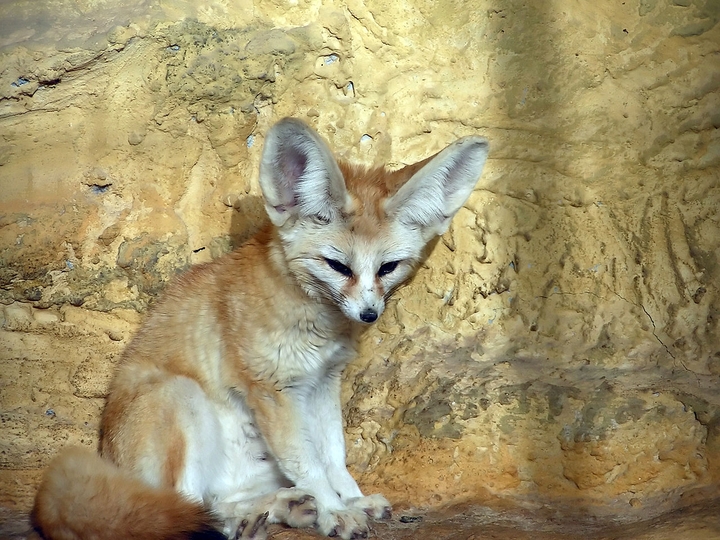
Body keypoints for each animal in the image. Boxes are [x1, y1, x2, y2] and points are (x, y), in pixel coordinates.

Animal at [33, 118, 489, 540]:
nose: (369, 314)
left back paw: (278, 508)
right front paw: (335, 511)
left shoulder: (323, 383)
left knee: (216, 501)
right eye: (338, 266)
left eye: (388, 267)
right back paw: (252, 519)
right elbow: (310, 465)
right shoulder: (273, 391)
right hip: (181, 397)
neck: (315, 320)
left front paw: (351, 499)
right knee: (185, 509)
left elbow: (333, 456)